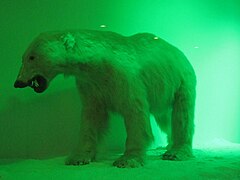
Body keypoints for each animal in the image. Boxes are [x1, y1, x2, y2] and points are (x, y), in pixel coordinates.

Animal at [13, 29, 197, 167]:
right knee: (164, 117)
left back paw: (176, 152)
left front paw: (127, 159)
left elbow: (134, 112)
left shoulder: (124, 77)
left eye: (32, 57)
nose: (18, 82)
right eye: (23, 57)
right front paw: (78, 157)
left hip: (182, 81)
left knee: (182, 115)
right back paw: (169, 144)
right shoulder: (90, 84)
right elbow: (92, 117)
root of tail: (179, 51)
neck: (99, 62)